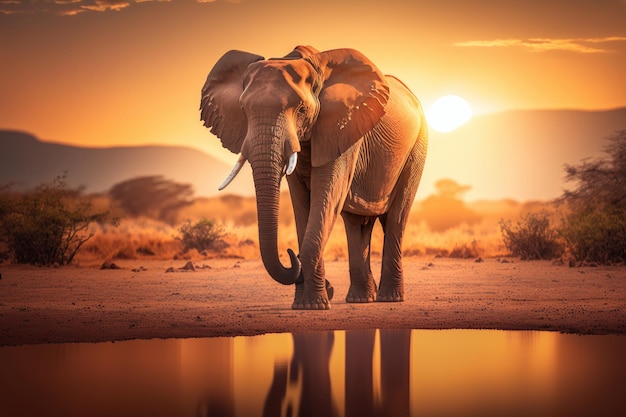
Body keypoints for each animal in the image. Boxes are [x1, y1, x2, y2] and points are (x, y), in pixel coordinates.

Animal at [200, 45, 424, 308]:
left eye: (301, 109)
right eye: (244, 111)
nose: (289, 254)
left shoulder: (344, 127)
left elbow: (327, 195)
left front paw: (314, 304)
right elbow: (301, 203)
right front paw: (307, 302)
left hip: (417, 147)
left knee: (396, 218)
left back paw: (390, 298)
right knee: (357, 223)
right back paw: (360, 299)